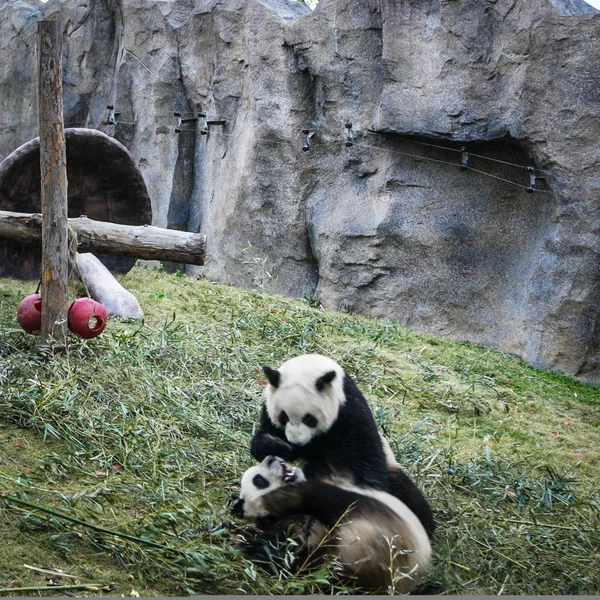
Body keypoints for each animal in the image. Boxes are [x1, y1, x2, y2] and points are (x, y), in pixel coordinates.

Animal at [248, 354, 436, 536]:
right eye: (284, 416)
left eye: (309, 419)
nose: (296, 441)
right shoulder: (269, 409)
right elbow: (264, 439)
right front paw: (278, 446)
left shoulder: (350, 414)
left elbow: (364, 460)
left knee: (409, 496)